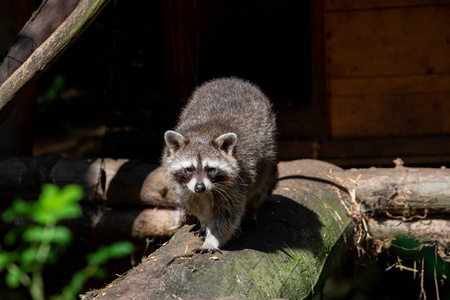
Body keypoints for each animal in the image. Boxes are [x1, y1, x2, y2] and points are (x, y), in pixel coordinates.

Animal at [162, 77, 278, 253]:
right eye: (188, 169)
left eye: (211, 169)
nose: (200, 187)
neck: (203, 134)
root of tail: (232, 79)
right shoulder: (180, 184)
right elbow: (193, 202)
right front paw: (203, 222)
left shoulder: (238, 181)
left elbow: (226, 215)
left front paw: (212, 239)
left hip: (267, 148)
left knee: (260, 184)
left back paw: (253, 209)